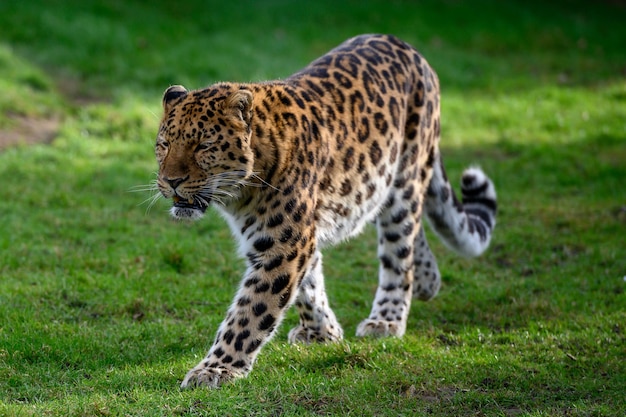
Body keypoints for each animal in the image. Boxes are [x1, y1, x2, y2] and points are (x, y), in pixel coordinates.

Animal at [154, 34, 494, 388]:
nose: (171, 181)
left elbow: (251, 311)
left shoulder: (284, 244)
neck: (241, 191)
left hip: (405, 179)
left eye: (203, 146)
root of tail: (408, 47)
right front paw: (323, 332)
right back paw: (427, 280)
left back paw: (387, 319)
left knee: (399, 249)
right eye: (164, 144)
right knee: (413, 231)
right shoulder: (290, 235)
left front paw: (216, 369)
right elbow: (309, 283)